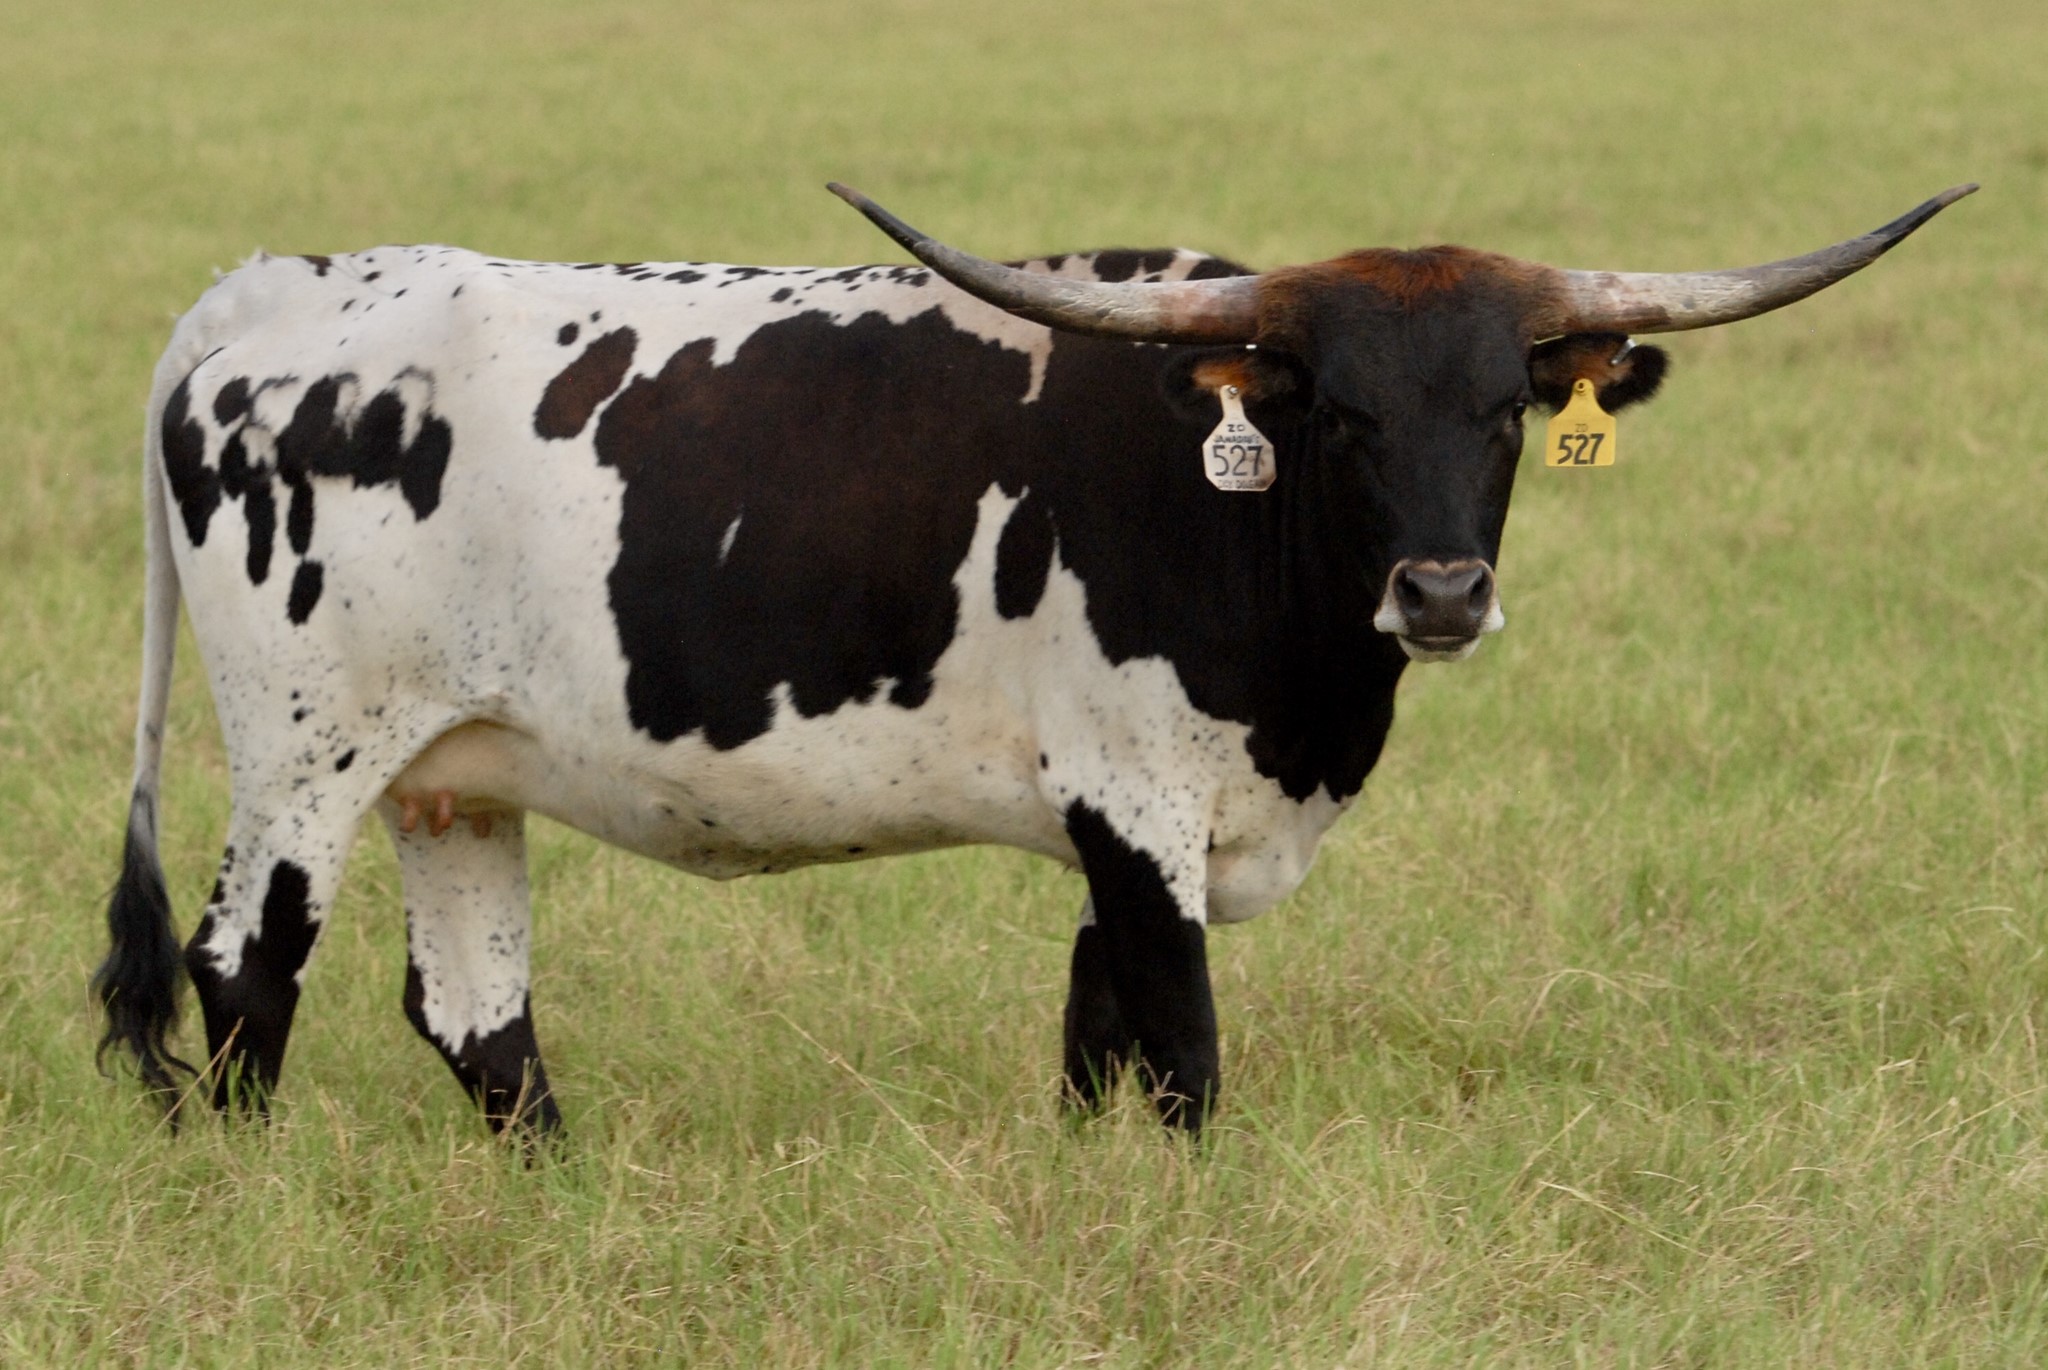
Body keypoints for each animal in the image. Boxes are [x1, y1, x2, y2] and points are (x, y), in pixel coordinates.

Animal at [94, 183, 1974, 1136]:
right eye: (1338, 416)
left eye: (1508, 410)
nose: (1441, 592)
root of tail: (273, 288)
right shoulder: (1135, 799)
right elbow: (1184, 1053)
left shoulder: (1124, 831)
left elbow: (1098, 1040)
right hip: (304, 755)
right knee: (241, 968)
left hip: (452, 775)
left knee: (477, 1017)